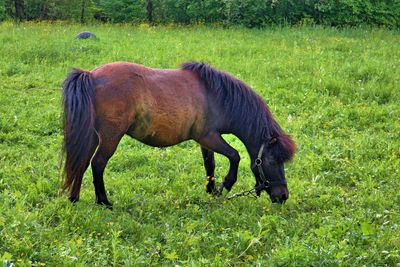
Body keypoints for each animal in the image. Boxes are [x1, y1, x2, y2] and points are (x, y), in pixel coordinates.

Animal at [61, 61, 296, 207]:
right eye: (272, 161)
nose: (283, 196)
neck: (217, 97)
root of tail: (91, 76)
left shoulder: (206, 141)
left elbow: (210, 164)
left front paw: (211, 190)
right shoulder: (209, 137)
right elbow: (234, 156)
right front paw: (225, 186)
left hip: (93, 136)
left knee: (82, 162)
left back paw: (74, 198)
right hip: (110, 138)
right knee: (97, 164)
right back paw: (103, 201)